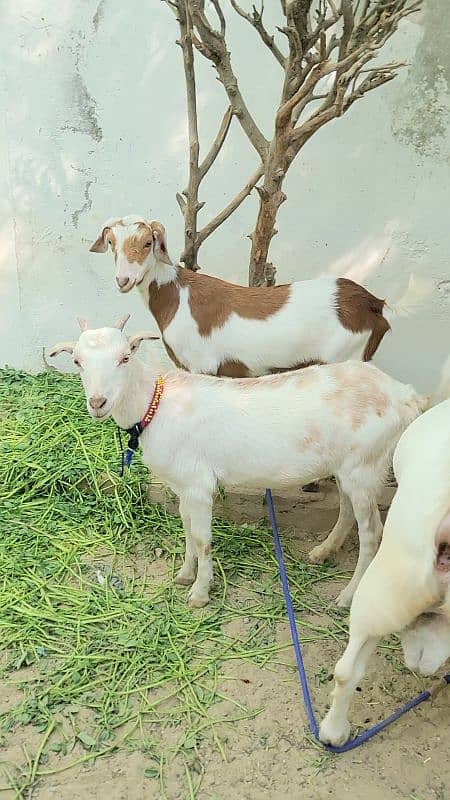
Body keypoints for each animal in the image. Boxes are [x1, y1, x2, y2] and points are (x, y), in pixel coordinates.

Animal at [49, 316, 428, 608]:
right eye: (78, 361)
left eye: (125, 357)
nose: (98, 402)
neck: (155, 405)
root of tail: (406, 395)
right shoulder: (183, 486)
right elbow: (186, 528)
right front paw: (185, 575)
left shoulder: (198, 485)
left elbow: (201, 537)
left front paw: (200, 593)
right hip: (348, 467)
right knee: (348, 511)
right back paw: (322, 552)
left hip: (365, 465)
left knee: (373, 533)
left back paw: (348, 596)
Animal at [88, 216, 426, 378]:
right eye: (111, 242)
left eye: (148, 242)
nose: (123, 280)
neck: (177, 296)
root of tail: (374, 303)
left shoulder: (201, 365)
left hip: (345, 357)